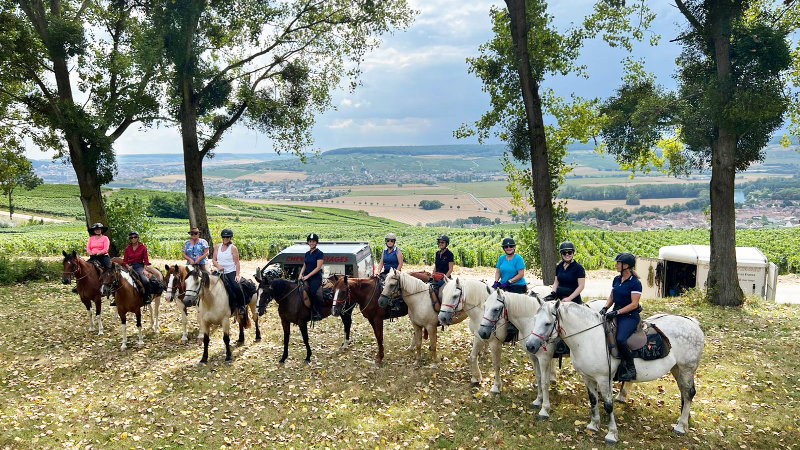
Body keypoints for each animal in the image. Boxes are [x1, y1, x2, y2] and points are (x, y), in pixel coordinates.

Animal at [525, 300, 704, 444]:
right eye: (534, 319)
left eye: (547, 323)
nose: (530, 345)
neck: (589, 338)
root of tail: (693, 323)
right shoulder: (587, 377)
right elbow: (593, 401)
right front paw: (594, 424)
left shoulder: (604, 379)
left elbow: (608, 405)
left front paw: (611, 434)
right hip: (677, 368)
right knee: (684, 393)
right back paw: (683, 420)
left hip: (687, 368)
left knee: (689, 393)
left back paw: (681, 426)